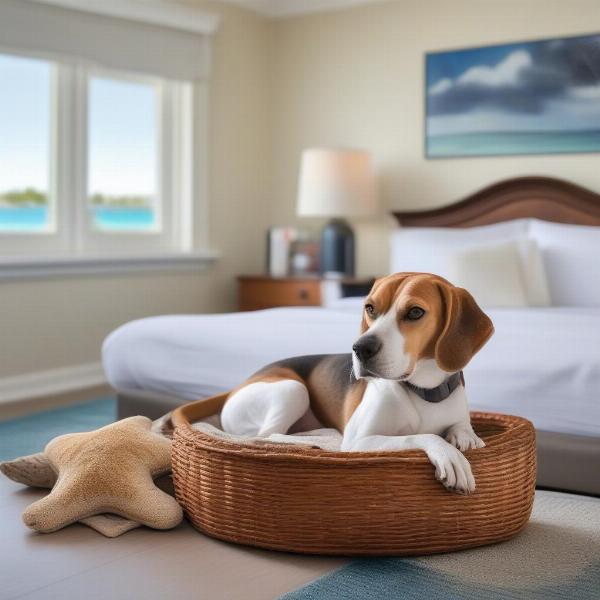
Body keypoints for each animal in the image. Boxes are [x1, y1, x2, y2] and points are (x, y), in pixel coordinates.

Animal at [220, 272, 492, 492]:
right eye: (370, 308)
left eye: (415, 312)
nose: (360, 348)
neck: (423, 390)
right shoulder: (361, 441)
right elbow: (421, 436)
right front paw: (449, 455)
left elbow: (461, 427)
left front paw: (465, 436)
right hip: (293, 389)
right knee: (268, 435)